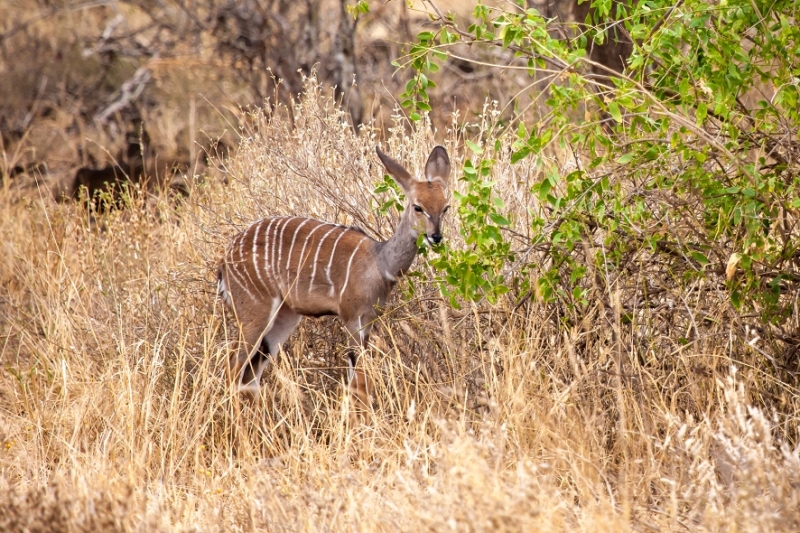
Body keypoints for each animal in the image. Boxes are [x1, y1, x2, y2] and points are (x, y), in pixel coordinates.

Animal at [216, 145, 450, 400]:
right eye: (418, 207)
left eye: (445, 207)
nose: (436, 237)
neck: (379, 262)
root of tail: (225, 261)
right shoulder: (352, 319)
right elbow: (359, 383)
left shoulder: (369, 321)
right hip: (255, 312)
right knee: (232, 366)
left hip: (284, 317)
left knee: (251, 374)